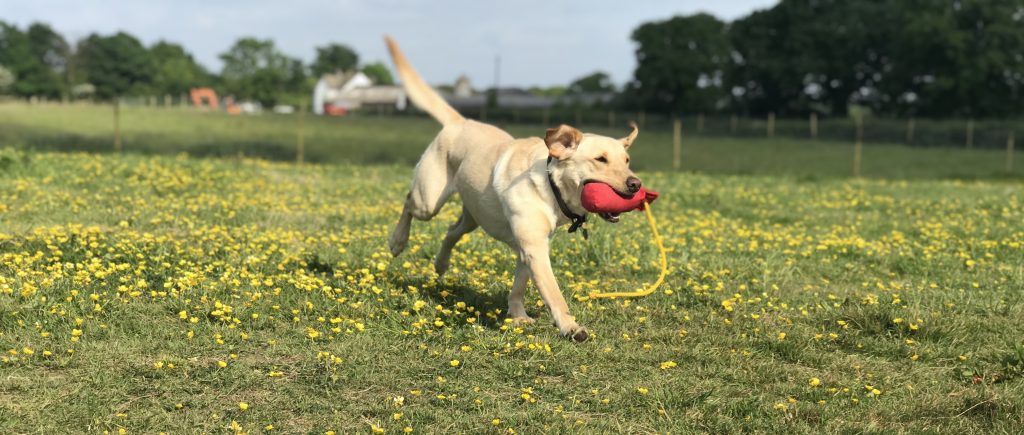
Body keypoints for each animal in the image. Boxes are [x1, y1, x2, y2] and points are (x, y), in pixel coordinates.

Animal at [385, 36, 638, 341]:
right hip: (429, 200)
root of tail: (461, 121)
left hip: (474, 214)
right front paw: (570, 327)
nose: (635, 184)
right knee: (410, 201)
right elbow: (553, 293)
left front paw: (517, 315)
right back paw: (398, 241)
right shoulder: (535, 248)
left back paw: (441, 264)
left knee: (451, 230)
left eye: (627, 161)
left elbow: (519, 286)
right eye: (600, 159)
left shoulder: (528, 247)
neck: (550, 185)